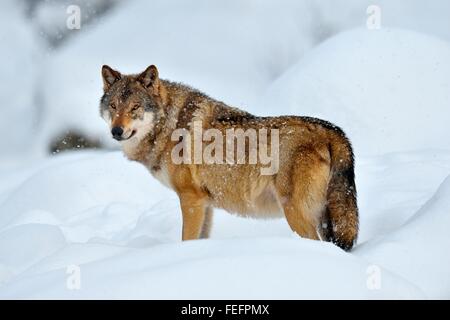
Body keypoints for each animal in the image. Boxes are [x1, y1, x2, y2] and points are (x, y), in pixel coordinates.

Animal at [99, 64, 358, 250]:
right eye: (113, 106)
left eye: (135, 107)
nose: (117, 131)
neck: (168, 125)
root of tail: (333, 131)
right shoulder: (205, 203)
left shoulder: (190, 199)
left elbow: (186, 239)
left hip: (295, 213)